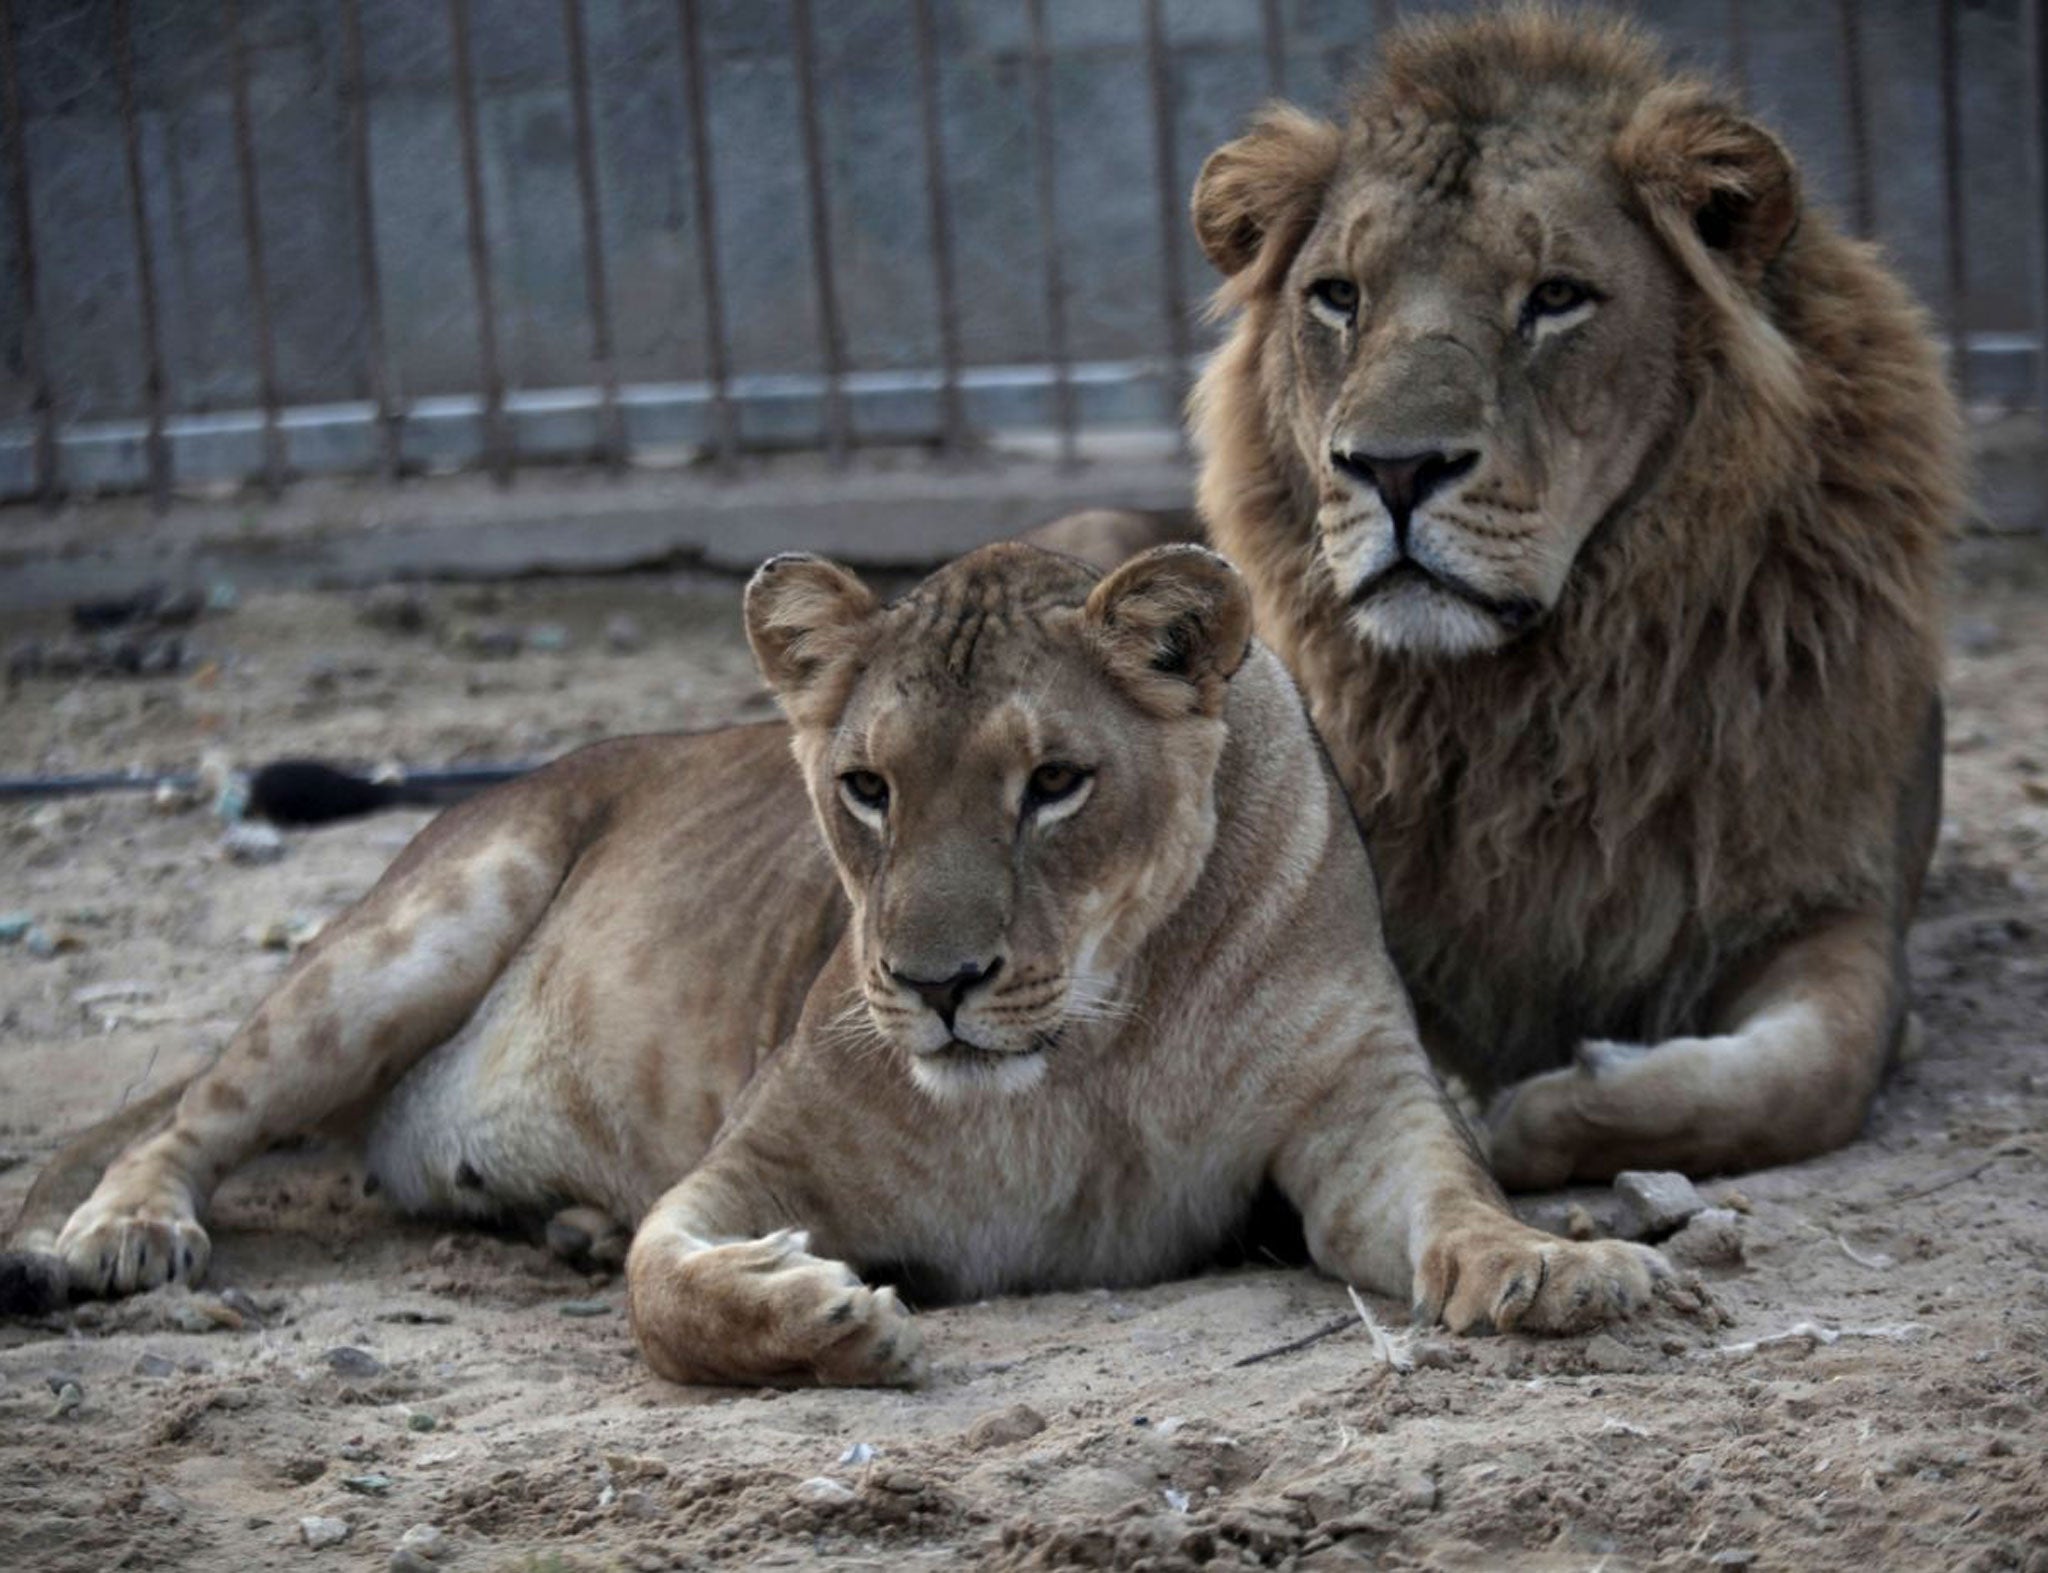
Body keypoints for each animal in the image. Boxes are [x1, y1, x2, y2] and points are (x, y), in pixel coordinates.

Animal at [2, 543, 1663, 1381]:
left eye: (1054, 782)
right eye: (866, 788)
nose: (934, 985)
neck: (1102, 1039)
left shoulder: (1364, 1105)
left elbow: (1454, 1199)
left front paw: (1554, 1268)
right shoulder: (752, 1156)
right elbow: (669, 1284)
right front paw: (817, 1317)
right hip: (422, 923)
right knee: (186, 1115)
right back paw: (111, 1239)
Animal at [1186, 8, 1958, 1188]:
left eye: (1553, 298)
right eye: (1339, 296)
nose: (1392, 469)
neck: (1544, 696)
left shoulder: (1834, 897)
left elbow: (1806, 1075)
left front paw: (1544, 1106)